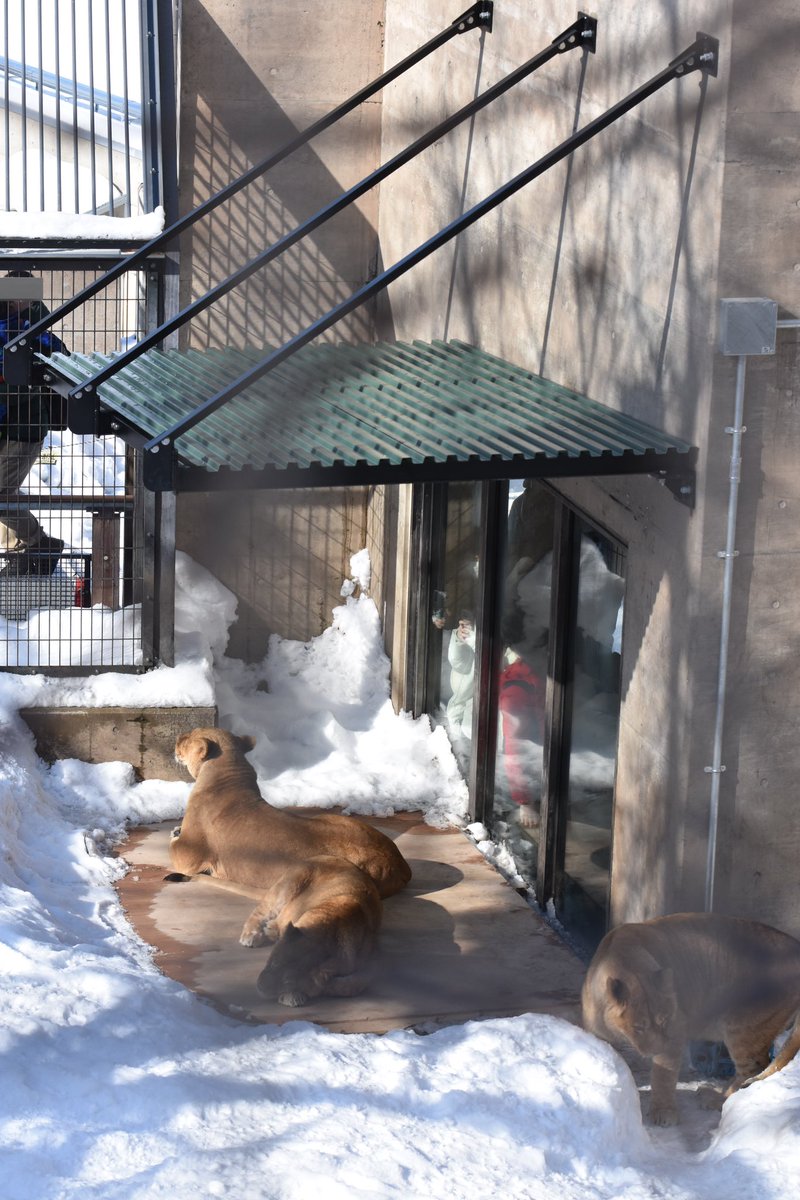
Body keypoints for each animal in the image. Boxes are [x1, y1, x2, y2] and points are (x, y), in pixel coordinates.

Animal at [582, 912, 800, 1128]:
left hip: (742, 1027)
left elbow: (663, 1074)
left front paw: (664, 1112)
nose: (658, 1048)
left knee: (754, 1068)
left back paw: (716, 1099)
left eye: (664, 1020)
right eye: (638, 1027)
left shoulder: (676, 1030)